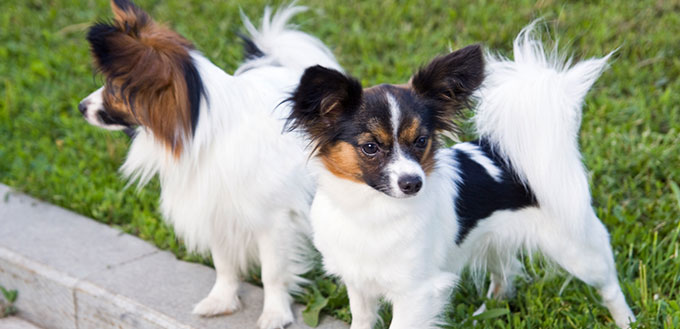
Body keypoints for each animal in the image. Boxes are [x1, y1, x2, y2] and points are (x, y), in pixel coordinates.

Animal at [79, 1, 342, 326]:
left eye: (113, 89)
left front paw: (274, 313)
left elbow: (272, 273)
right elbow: (224, 264)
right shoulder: (214, 208)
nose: (81, 107)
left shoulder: (275, 221)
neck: (206, 133)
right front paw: (222, 300)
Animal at [284, 24, 636, 326]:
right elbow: (362, 320)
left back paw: (626, 319)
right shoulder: (359, 283)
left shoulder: (418, 292)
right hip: (494, 239)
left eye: (421, 141)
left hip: (575, 247)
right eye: (370, 147)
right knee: (506, 271)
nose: (413, 183)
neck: (371, 209)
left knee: (608, 283)